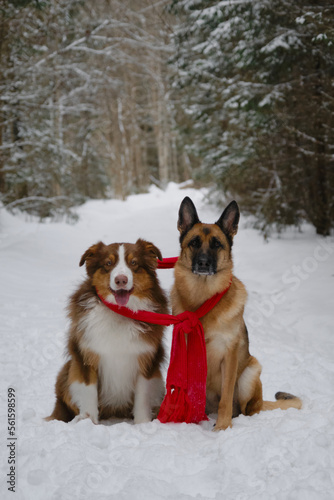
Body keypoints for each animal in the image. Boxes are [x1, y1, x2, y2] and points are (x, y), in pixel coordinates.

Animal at [47, 240, 167, 424]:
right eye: (108, 263)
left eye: (134, 263)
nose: (121, 280)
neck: (119, 312)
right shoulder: (86, 354)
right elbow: (88, 391)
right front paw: (88, 421)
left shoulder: (146, 358)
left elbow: (143, 395)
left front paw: (142, 423)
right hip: (65, 372)